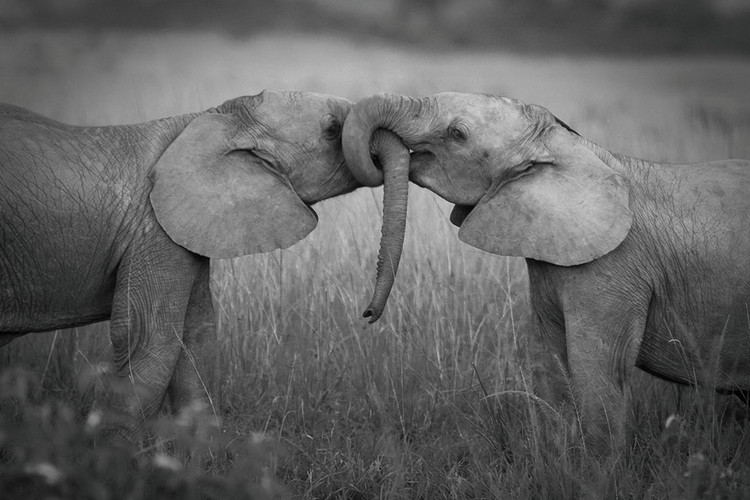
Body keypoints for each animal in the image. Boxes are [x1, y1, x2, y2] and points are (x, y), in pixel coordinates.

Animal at [0, 89, 407, 433]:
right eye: (332, 129)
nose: (368, 314)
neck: (209, 119)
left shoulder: (181, 233)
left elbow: (198, 337)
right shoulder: (154, 231)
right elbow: (151, 338)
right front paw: (121, 454)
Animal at [342, 91, 750, 457]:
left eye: (457, 133)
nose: (367, 313)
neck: (567, 147)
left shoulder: (614, 269)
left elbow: (597, 374)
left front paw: (596, 478)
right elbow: (554, 367)